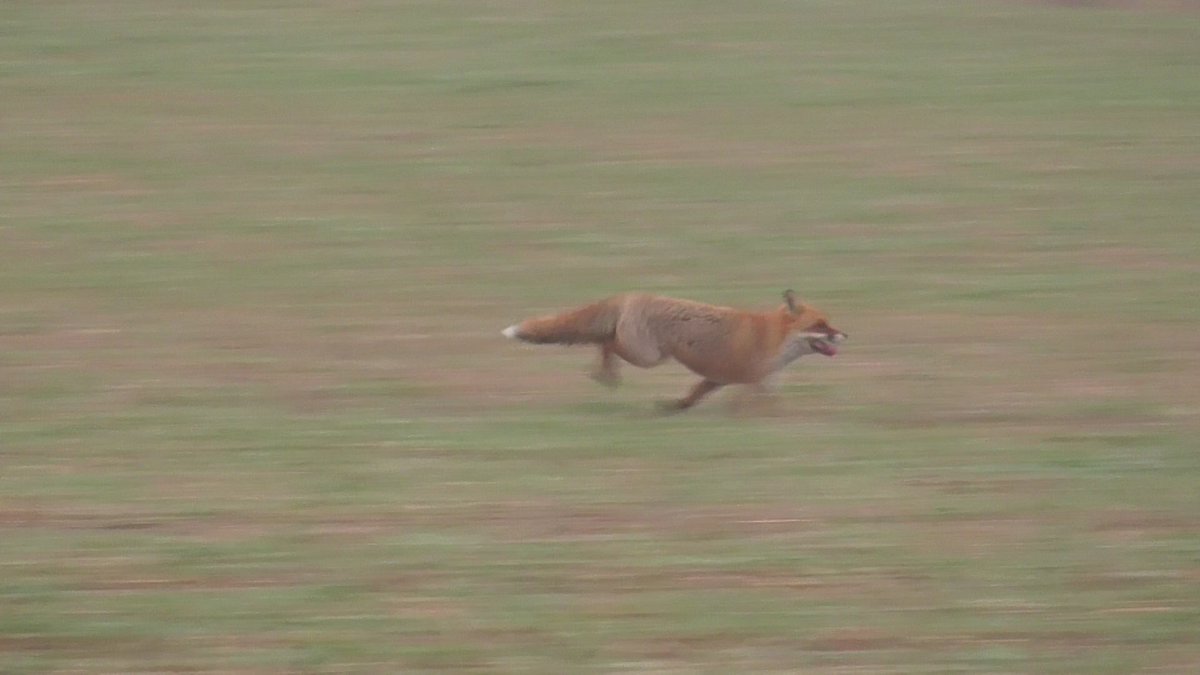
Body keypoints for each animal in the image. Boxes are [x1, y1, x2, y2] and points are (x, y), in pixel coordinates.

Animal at [502, 289, 847, 412]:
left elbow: (690, 398)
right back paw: (605, 373)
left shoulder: (718, 379)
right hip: (647, 357)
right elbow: (758, 405)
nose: (845, 334)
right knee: (606, 343)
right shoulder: (749, 380)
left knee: (604, 341)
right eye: (821, 325)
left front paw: (672, 407)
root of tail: (631, 296)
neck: (772, 336)